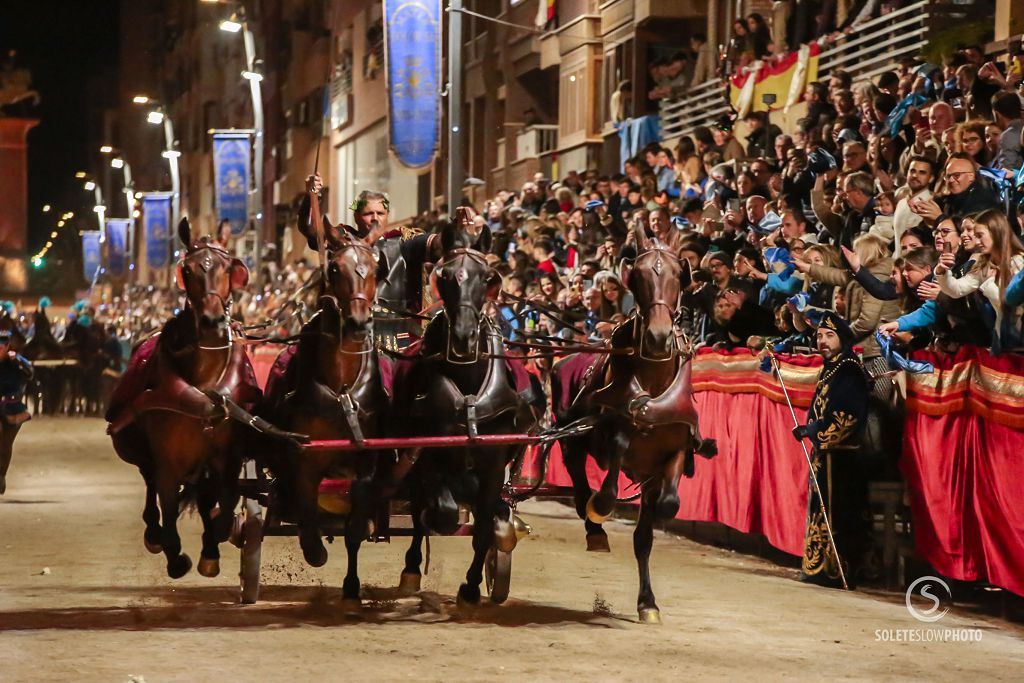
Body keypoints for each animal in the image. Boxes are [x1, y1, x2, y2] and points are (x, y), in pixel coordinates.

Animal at [108, 218, 299, 577]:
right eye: (188, 269)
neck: (204, 386)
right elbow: (169, 509)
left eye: (229, 268)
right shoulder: (168, 461)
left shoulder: (226, 458)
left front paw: (214, 545)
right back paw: (154, 534)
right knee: (150, 487)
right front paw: (175, 555)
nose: (211, 321)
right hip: (145, 455)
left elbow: (223, 503)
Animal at [262, 218, 389, 610]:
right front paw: (314, 548)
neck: (341, 385)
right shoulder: (304, 459)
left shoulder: (366, 462)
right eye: (335, 268)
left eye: (375, 269)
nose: (359, 323)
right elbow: (307, 517)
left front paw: (351, 584)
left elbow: (355, 528)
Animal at [387, 210, 540, 606]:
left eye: (488, 278)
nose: (464, 337)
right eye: (443, 276)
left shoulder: (493, 463)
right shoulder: (428, 456)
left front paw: (471, 585)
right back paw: (411, 569)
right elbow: (438, 512)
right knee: (422, 511)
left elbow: (484, 521)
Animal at [557, 220, 716, 626]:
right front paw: (600, 507)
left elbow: (662, 514)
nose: (659, 337)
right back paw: (593, 525)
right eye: (639, 275)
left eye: (677, 274)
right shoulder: (610, 436)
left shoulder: (672, 455)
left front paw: (648, 603)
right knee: (578, 479)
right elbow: (607, 487)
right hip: (571, 436)